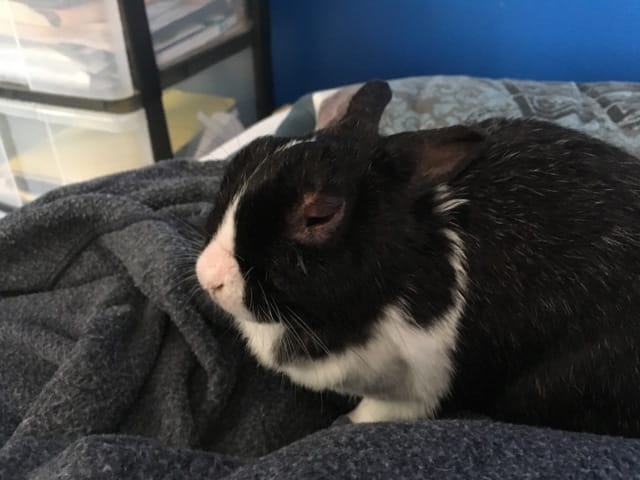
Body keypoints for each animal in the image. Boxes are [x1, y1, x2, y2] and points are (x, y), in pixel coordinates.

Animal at [196, 80, 640, 437]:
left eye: (319, 215)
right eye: (245, 157)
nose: (208, 276)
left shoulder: (413, 388)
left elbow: (380, 411)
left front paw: (347, 423)